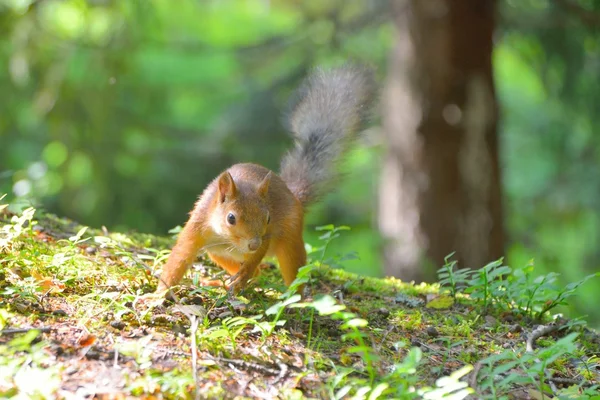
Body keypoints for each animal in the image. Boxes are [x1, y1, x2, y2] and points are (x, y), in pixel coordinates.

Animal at [156, 66, 376, 294]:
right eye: (231, 218)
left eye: (268, 218)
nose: (252, 244)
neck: (227, 238)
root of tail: (293, 195)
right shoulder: (197, 227)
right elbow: (179, 258)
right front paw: (159, 294)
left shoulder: (266, 235)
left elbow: (258, 254)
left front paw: (247, 269)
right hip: (217, 253)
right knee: (255, 274)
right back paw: (226, 282)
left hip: (290, 238)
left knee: (293, 272)